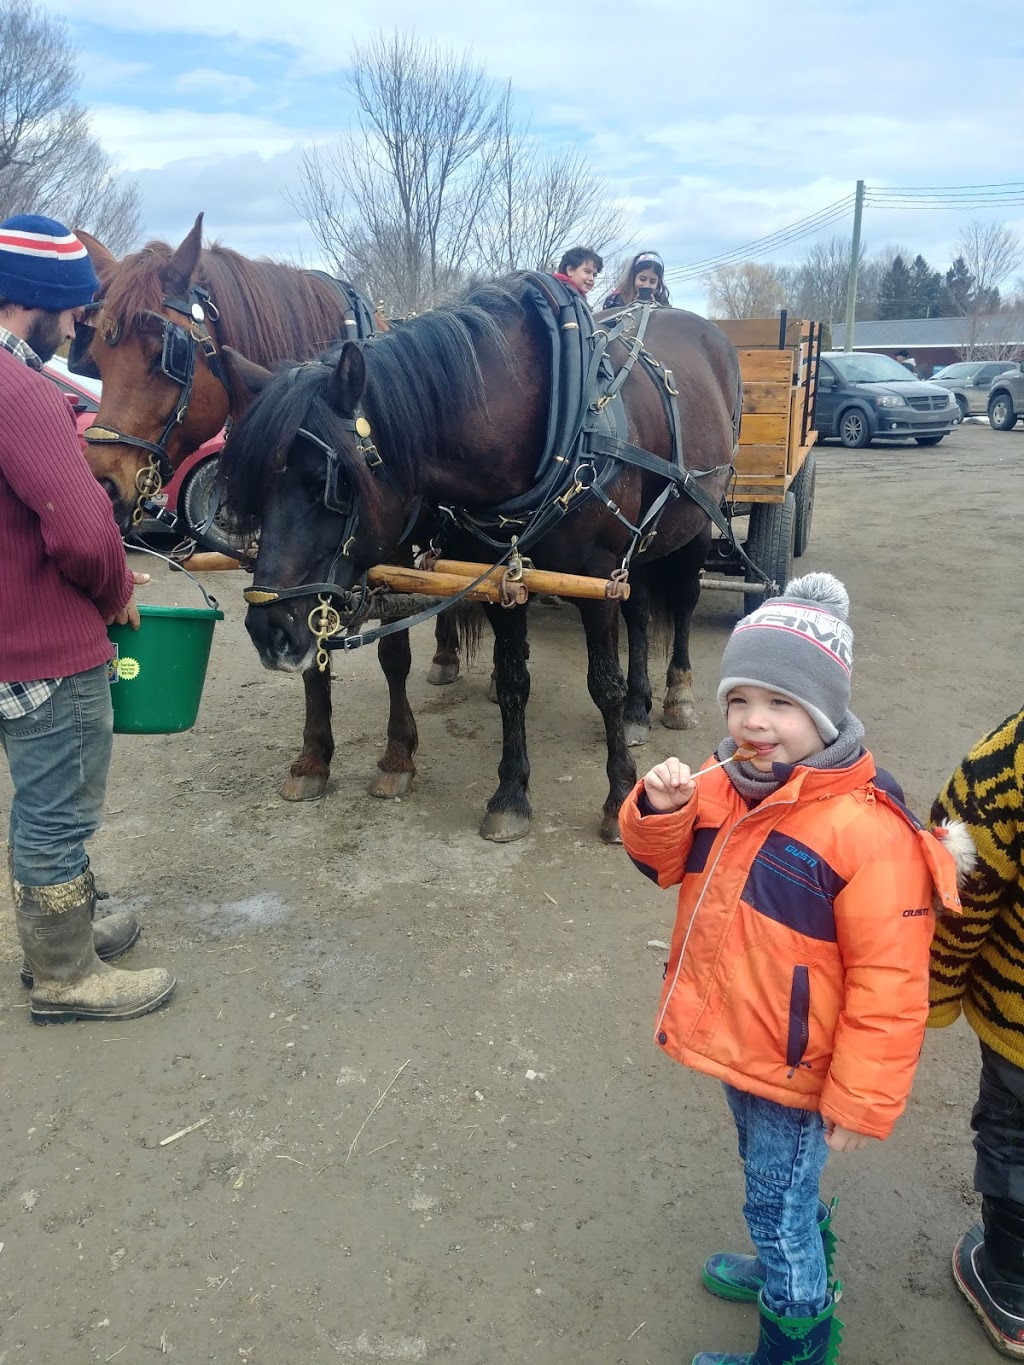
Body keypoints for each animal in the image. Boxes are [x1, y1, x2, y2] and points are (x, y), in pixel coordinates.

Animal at [70, 218, 458, 802]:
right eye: (94, 355)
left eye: (166, 354)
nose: (102, 487)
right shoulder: (294, 566)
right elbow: (310, 647)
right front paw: (314, 757)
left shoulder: (383, 549)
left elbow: (393, 653)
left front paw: (396, 754)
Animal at [221, 277, 742, 840]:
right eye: (255, 487)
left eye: (330, 485)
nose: (268, 631)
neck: (555, 418)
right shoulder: (500, 581)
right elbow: (513, 681)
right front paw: (510, 794)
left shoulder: (597, 578)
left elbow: (603, 683)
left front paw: (619, 797)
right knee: (641, 612)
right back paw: (637, 709)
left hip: (697, 525)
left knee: (682, 603)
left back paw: (676, 697)